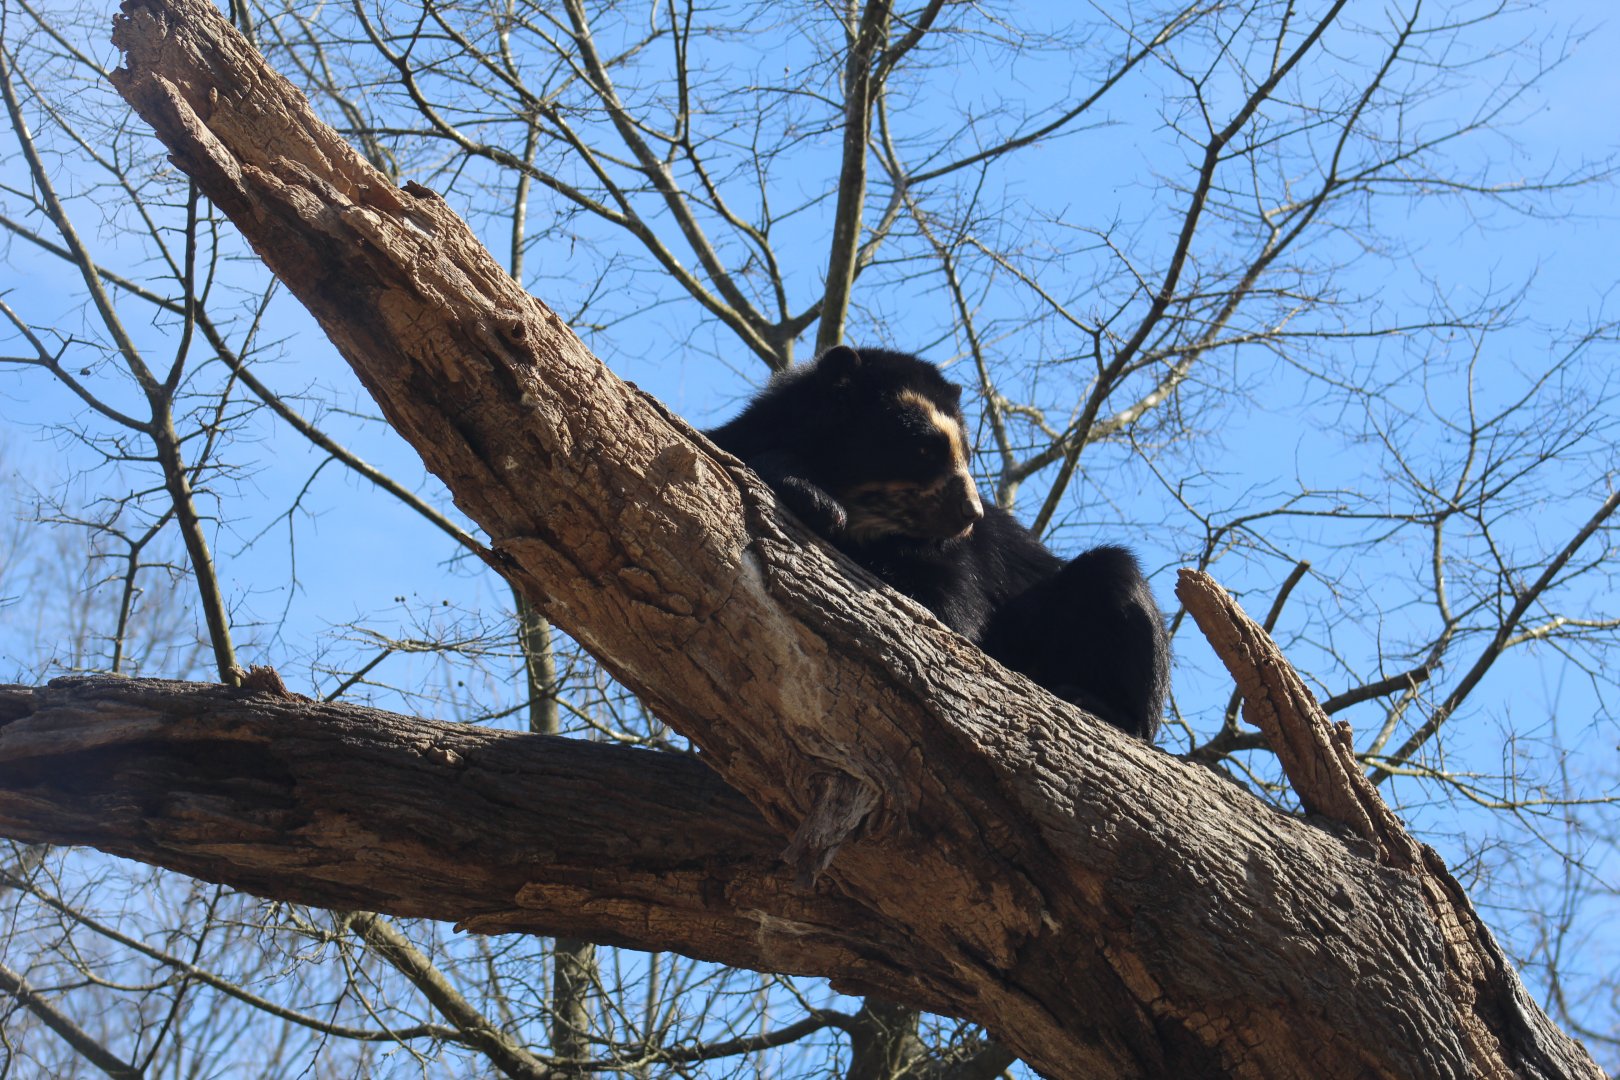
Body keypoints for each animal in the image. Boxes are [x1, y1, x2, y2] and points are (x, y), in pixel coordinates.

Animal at [708, 345, 1169, 741]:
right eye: (925, 450)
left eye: (967, 453)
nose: (971, 513)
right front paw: (814, 498)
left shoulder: (958, 558)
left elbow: (949, 609)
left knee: (1116, 576)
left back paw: (1100, 707)